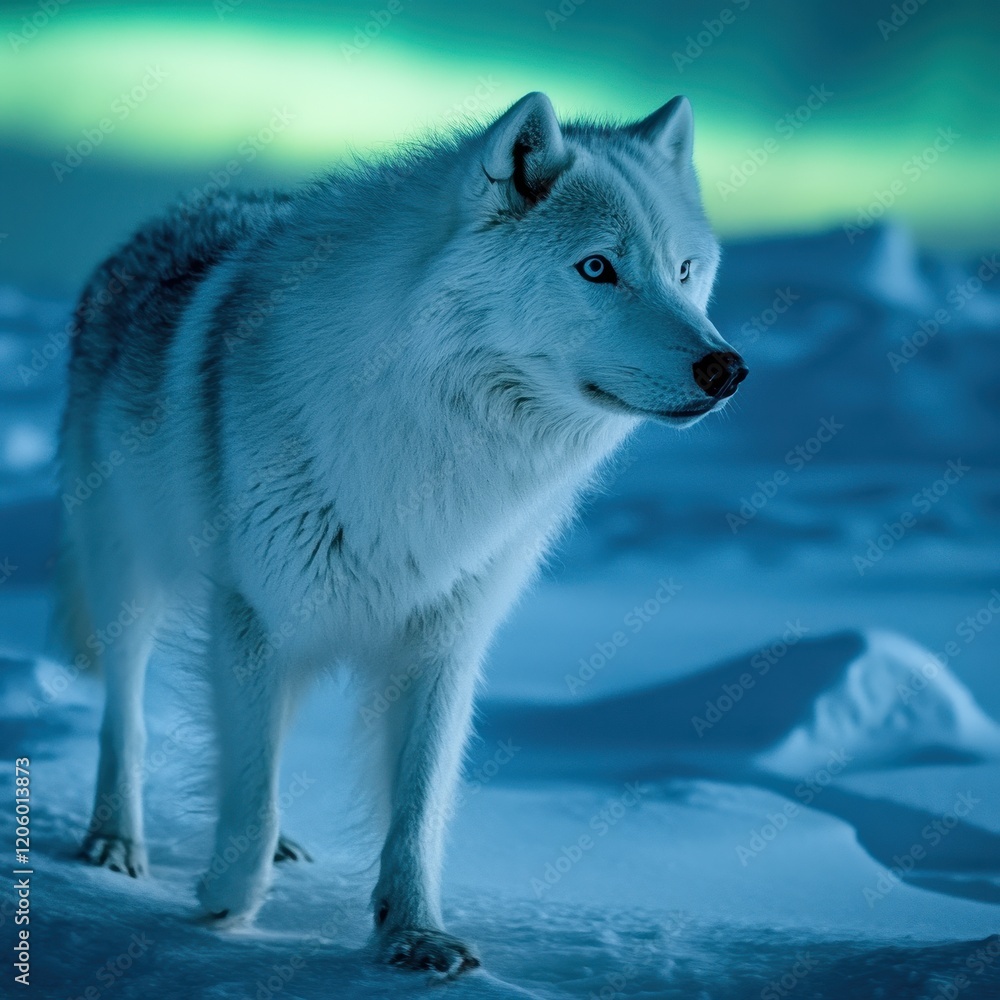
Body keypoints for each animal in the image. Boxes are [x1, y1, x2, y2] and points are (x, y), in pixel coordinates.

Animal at [57, 91, 746, 976]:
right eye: (597, 268)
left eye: (684, 271)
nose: (727, 369)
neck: (440, 443)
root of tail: (162, 221)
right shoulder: (253, 615)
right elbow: (250, 790)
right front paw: (225, 903)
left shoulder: (444, 639)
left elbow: (417, 809)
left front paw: (412, 934)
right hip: (128, 575)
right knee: (127, 716)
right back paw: (115, 841)